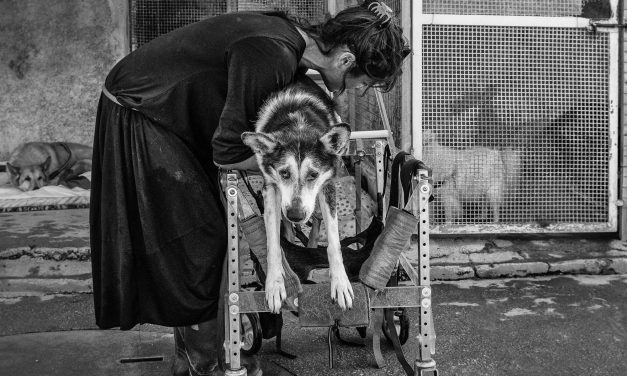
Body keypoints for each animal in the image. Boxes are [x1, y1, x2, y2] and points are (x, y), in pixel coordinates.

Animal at [243, 78, 356, 312]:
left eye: (313, 174)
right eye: (284, 173)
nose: (296, 215)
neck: (298, 127)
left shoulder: (327, 186)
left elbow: (334, 243)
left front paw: (341, 283)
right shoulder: (271, 189)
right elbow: (273, 243)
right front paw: (275, 284)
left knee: (317, 221)